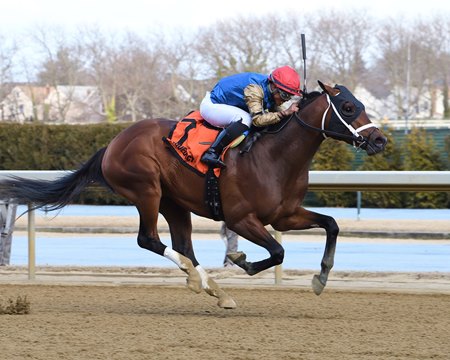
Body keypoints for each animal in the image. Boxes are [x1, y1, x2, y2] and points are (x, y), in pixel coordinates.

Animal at [0, 81, 386, 310]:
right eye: (348, 108)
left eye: (360, 104)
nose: (380, 140)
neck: (275, 157)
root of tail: (112, 143)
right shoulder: (241, 219)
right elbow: (276, 252)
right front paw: (242, 261)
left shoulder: (285, 215)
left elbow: (331, 224)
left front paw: (321, 278)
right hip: (147, 191)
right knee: (149, 240)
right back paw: (197, 277)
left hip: (174, 202)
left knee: (183, 245)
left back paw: (213, 288)